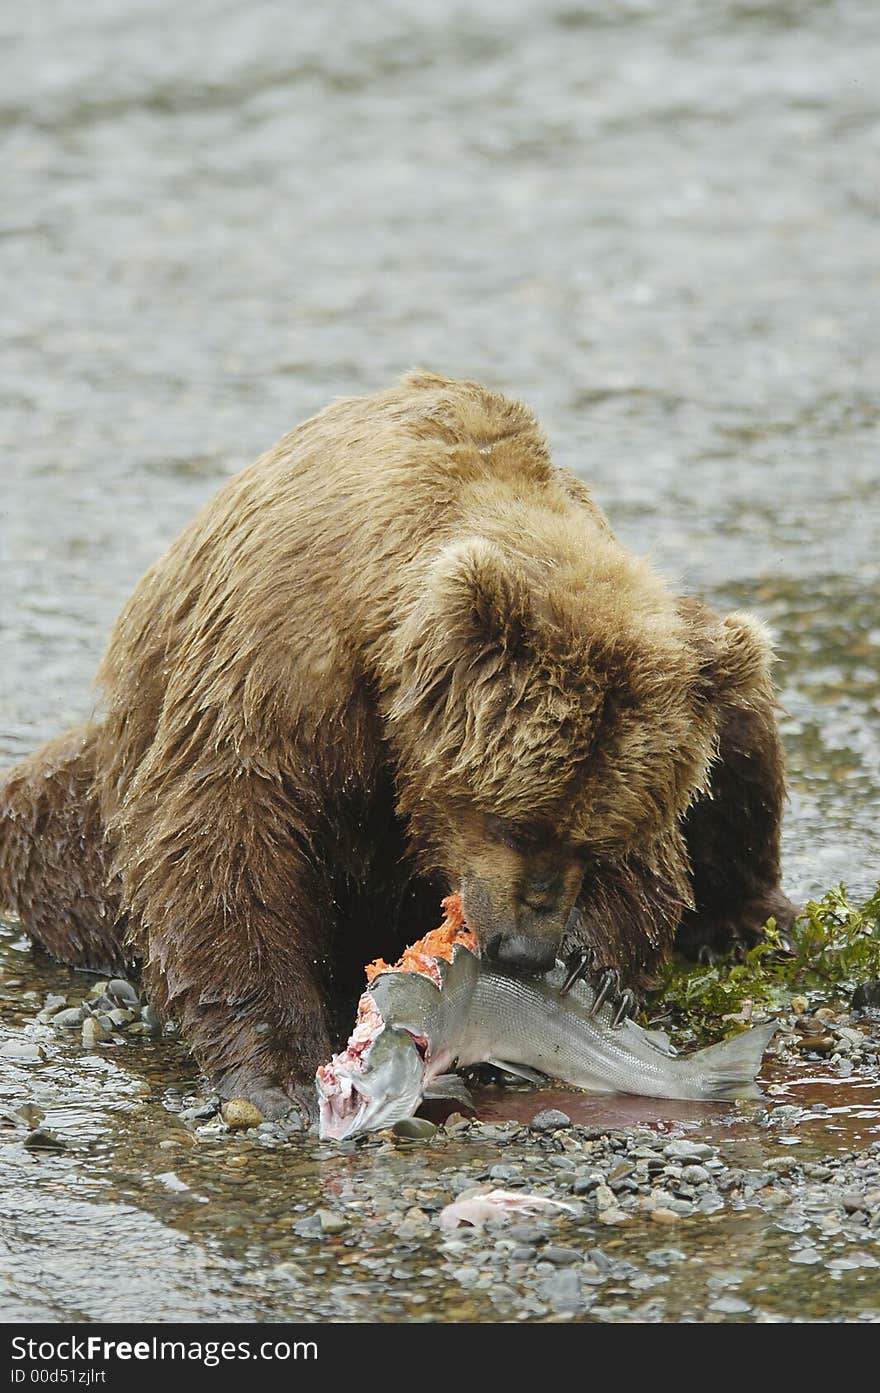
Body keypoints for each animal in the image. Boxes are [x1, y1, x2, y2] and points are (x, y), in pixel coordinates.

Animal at [0, 370, 796, 1119]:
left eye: (596, 840)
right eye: (513, 821)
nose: (524, 947)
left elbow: (657, 870)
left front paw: (593, 969)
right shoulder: (279, 674)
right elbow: (222, 839)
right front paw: (277, 1071)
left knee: (744, 740)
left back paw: (747, 919)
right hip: (89, 803)